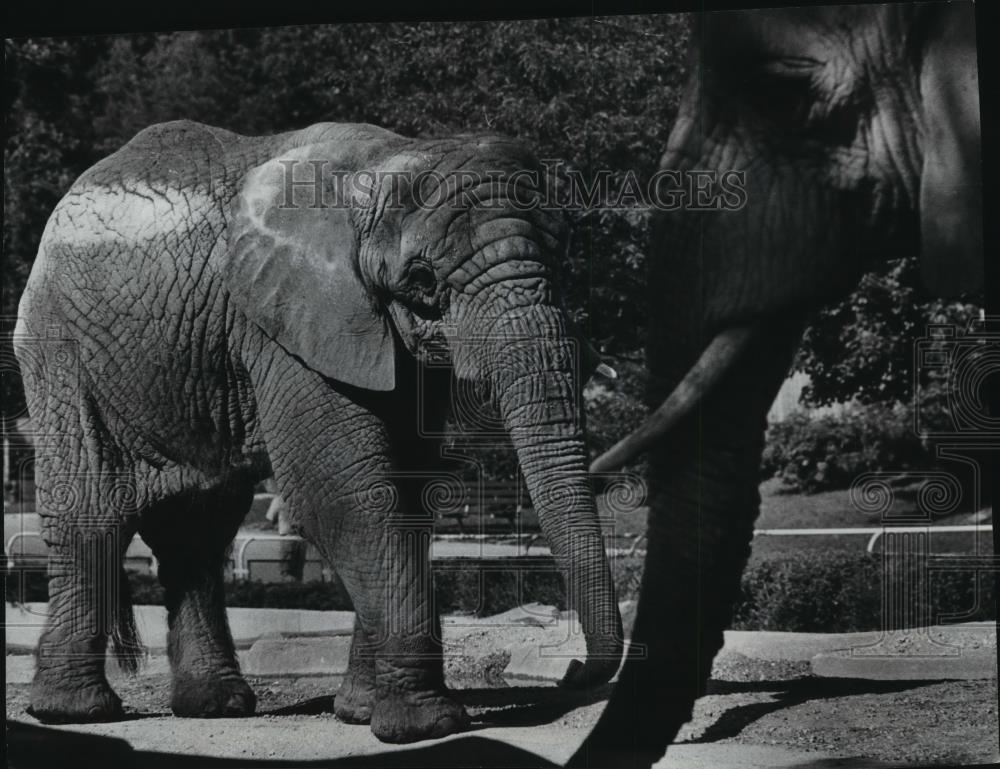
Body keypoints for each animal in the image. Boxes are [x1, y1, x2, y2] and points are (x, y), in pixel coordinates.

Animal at [13, 121, 624, 744]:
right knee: (92, 514)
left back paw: (216, 705)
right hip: (58, 344)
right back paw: (75, 712)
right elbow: (343, 492)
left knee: (199, 527)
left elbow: (407, 489)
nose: (574, 670)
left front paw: (358, 712)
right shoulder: (287, 329)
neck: (387, 164)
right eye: (423, 280)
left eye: (563, 259)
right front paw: (424, 725)